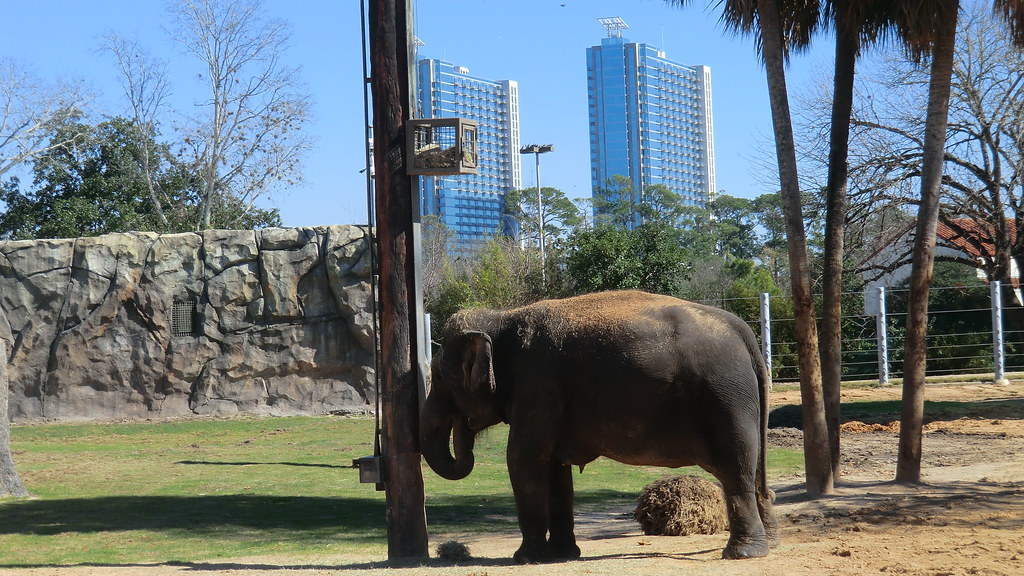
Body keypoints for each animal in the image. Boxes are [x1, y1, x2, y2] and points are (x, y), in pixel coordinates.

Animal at [415, 286, 774, 561]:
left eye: (441, 378)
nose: (463, 427)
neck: (503, 318)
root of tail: (742, 330)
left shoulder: (537, 388)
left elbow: (523, 460)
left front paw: (525, 559)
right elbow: (556, 471)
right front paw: (562, 555)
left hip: (725, 397)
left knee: (736, 469)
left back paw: (742, 554)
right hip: (743, 400)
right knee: (754, 467)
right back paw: (769, 542)